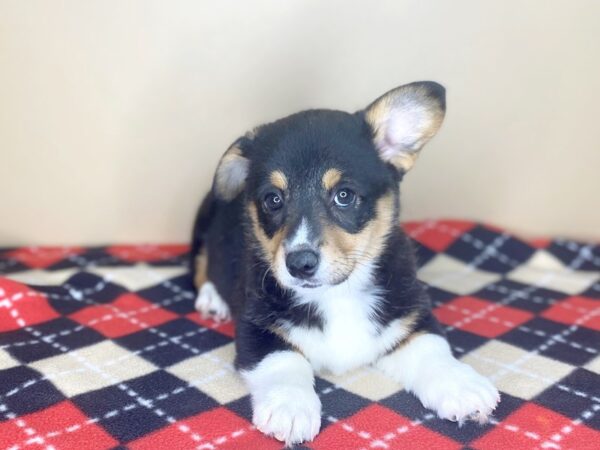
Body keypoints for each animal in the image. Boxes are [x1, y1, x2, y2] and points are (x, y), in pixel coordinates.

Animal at [190, 82, 500, 444]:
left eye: (344, 195)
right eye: (273, 199)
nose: (300, 263)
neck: (337, 294)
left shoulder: (409, 317)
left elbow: (431, 348)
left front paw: (463, 386)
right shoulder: (257, 328)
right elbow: (284, 361)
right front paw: (290, 408)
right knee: (199, 269)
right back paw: (212, 299)